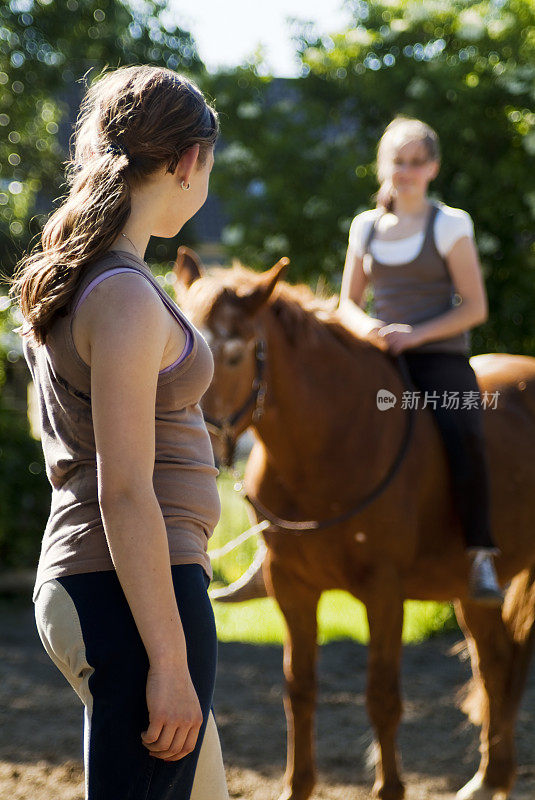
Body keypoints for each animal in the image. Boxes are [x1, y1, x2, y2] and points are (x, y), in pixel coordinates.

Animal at [175, 250, 535, 800]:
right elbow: (299, 688)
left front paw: (390, 788)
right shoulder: (292, 586)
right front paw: (297, 787)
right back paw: (488, 779)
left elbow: (382, 695)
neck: (330, 446)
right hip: (469, 592)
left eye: (234, 355)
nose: (200, 444)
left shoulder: (384, 589)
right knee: (495, 665)